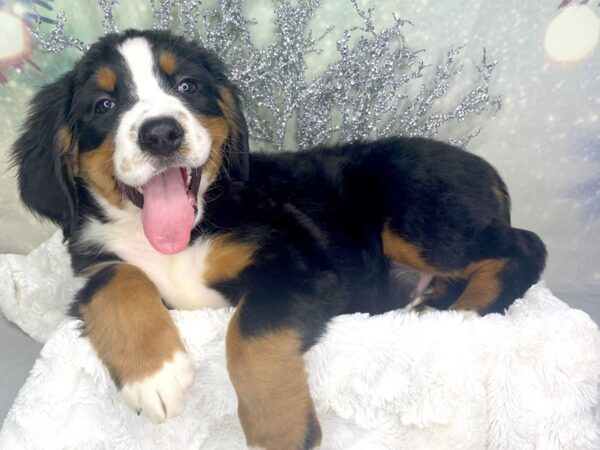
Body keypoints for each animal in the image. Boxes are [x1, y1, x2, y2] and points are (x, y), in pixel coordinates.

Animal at [11, 29, 548, 450]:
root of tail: (483, 169)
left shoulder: (299, 264)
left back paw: (461, 312)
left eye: (186, 86)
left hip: (416, 213)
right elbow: (119, 283)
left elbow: (250, 335)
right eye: (103, 105)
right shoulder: (96, 266)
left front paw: (279, 432)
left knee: (523, 248)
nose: (160, 133)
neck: (182, 236)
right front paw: (154, 375)